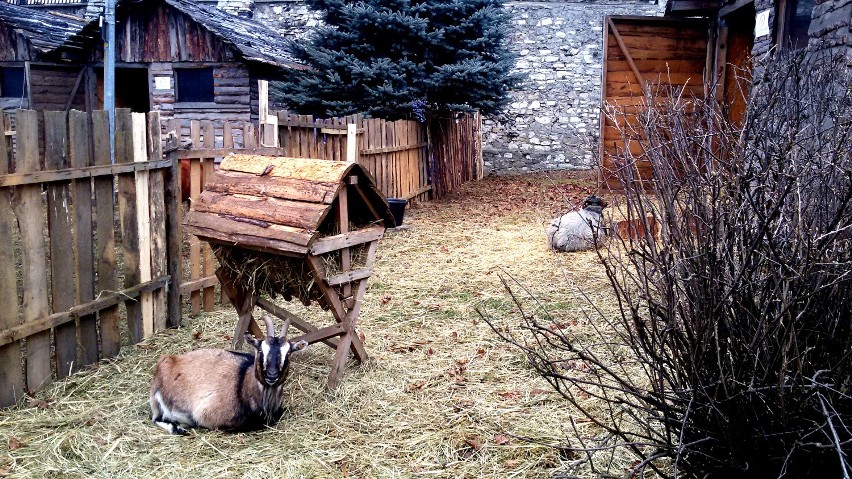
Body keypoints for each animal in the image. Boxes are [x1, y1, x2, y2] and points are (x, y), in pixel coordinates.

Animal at [151, 316, 310, 436]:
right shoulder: (207, 415)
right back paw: (178, 429)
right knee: (156, 418)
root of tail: (169, 359)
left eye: (288, 353)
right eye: (260, 350)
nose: (272, 375)